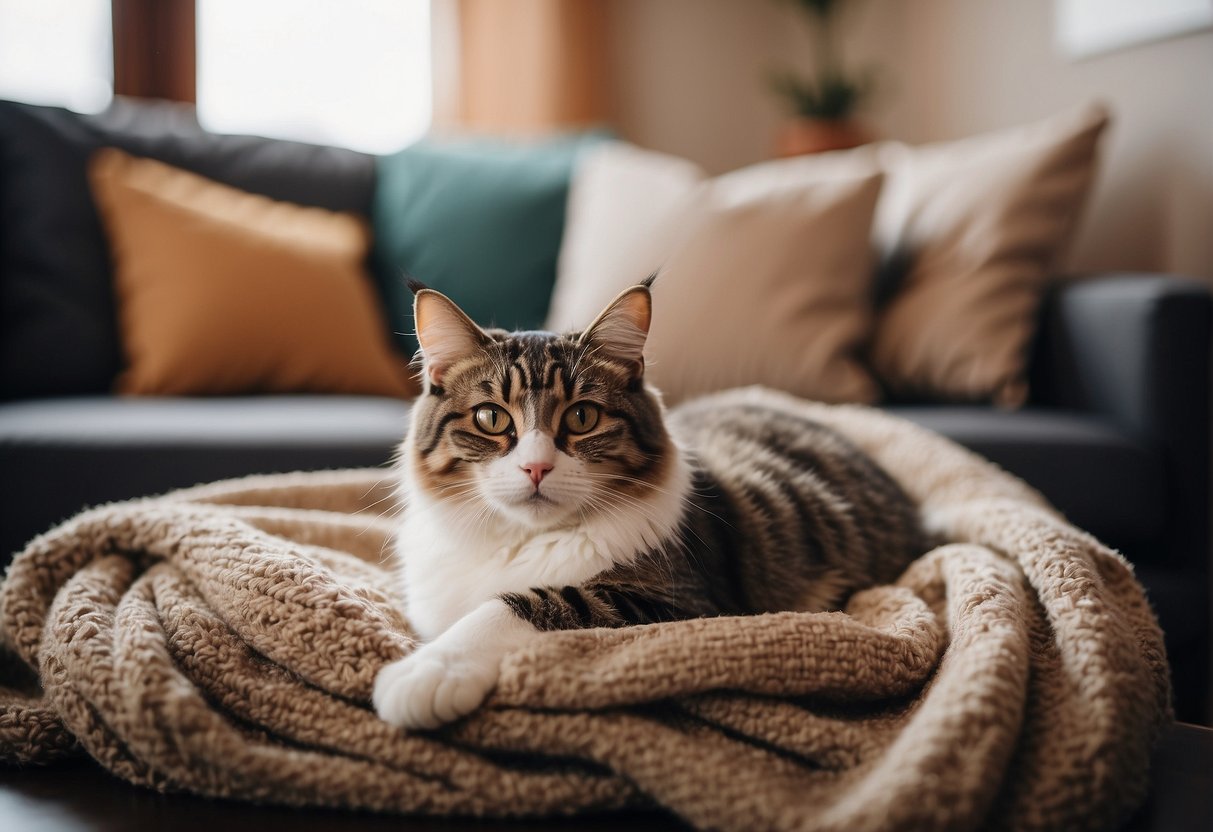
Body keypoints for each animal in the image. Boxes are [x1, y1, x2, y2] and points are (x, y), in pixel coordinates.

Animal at [373, 280, 921, 727]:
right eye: (491, 418)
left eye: (582, 417)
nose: (536, 468)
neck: (518, 539)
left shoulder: (683, 604)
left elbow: (523, 603)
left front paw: (426, 672)